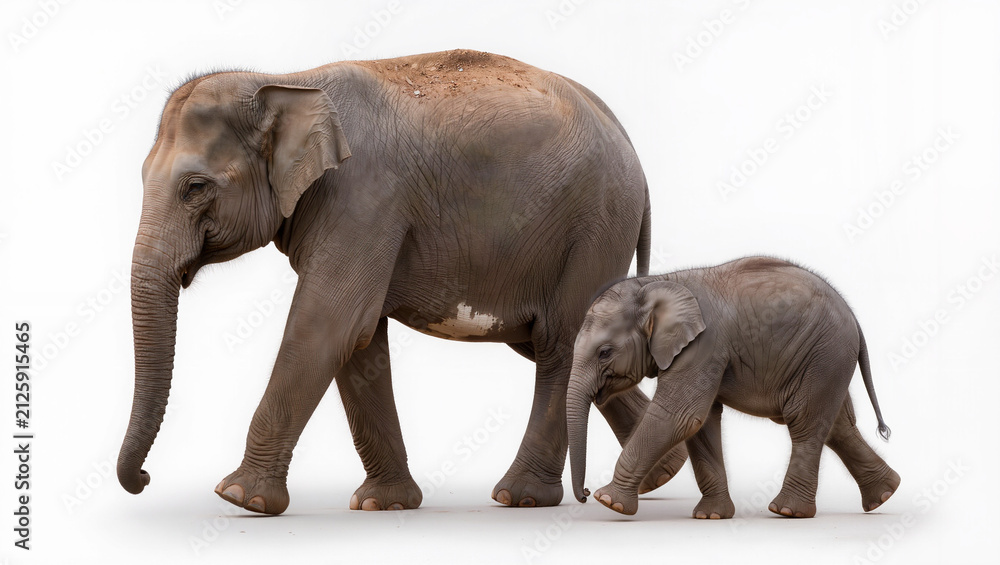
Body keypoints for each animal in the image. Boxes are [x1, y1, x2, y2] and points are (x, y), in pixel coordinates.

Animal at [117, 49, 691, 515]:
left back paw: (521, 497)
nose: (143, 478)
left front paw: (240, 498)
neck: (285, 80)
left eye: (195, 188)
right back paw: (660, 476)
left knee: (559, 343)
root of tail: (632, 152)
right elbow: (359, 338)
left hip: (594, 227)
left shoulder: (362, 198)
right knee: (557, 343)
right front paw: (383, 504)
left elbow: (329, 324)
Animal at [567, 256, 901, 518]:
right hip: (827, 362)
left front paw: (609, 501)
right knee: (838, 427)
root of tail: (854, 318)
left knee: (804, 421)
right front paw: (710, 516)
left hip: (825, 355)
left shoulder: (704, 346)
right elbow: (701, 424)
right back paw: (885, 495)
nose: (584, 494)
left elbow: (679, 416)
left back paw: (787, 511)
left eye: (604, 352)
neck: (655, 283)